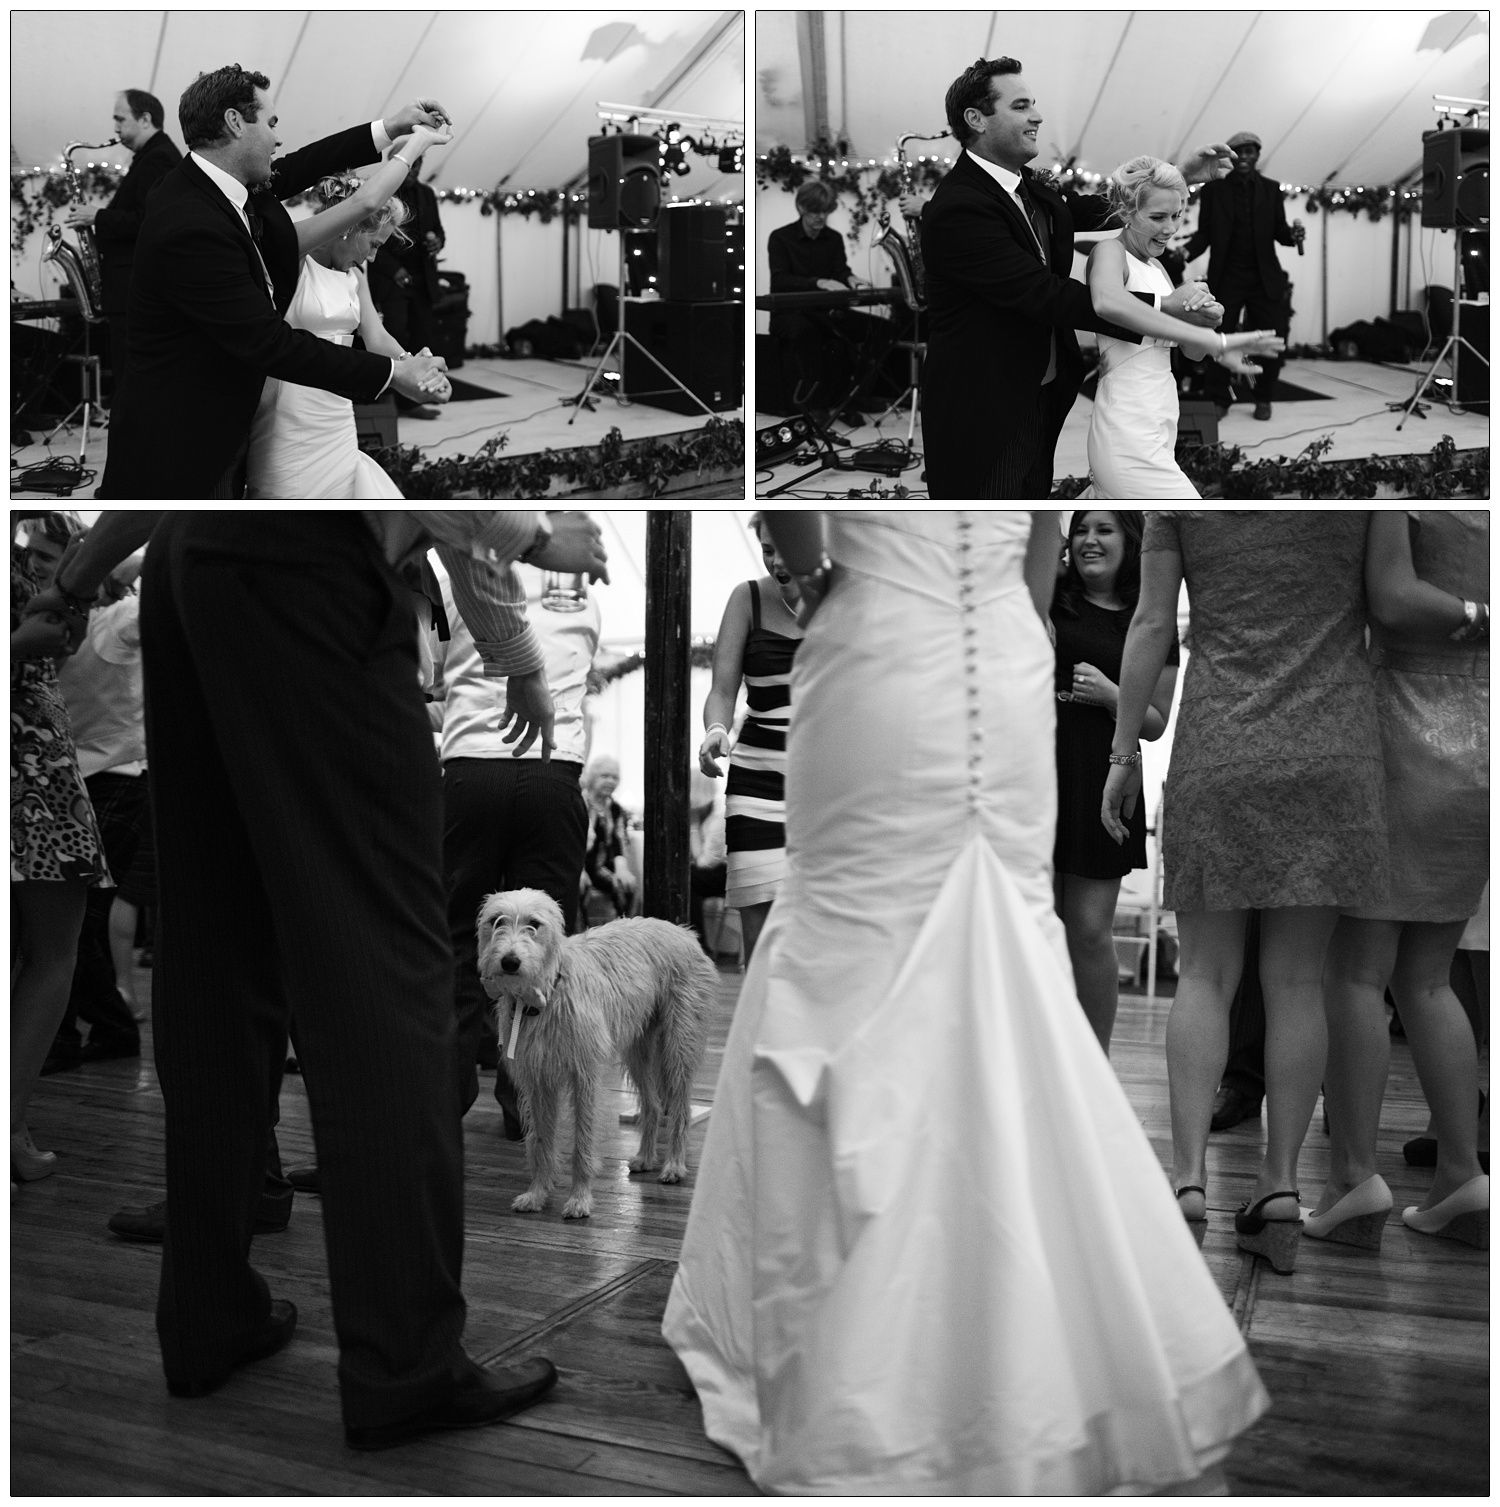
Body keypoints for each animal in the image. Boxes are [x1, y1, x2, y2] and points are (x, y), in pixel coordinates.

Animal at [479, 886, 717, 1217]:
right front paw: (537, 1194)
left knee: (681, 1109)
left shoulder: (585, 1077)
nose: (510, 962)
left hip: (677, 1048)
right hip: (639, 1052)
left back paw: (673, 1165)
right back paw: (645, 1157)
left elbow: (582, 1142)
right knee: (654, 1105)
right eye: (496, 921)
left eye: (534, 924)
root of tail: (685, 931)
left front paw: (579, 1199)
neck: (547, 994)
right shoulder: (538, 1081)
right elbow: (540, 1141)